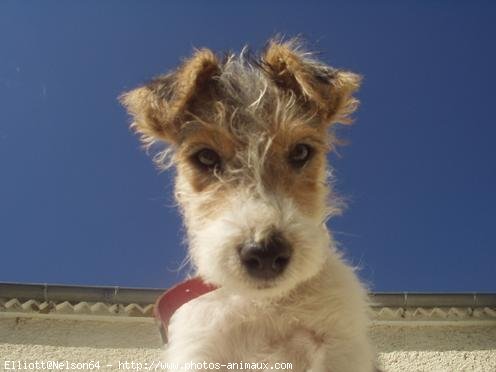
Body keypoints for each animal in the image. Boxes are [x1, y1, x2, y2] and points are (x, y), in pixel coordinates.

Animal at [121, 39, 376, 370]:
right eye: (205, 157)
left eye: (301, 151)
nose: (265, 252)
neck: (264, 304)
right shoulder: (200, 353)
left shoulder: (339, 345)